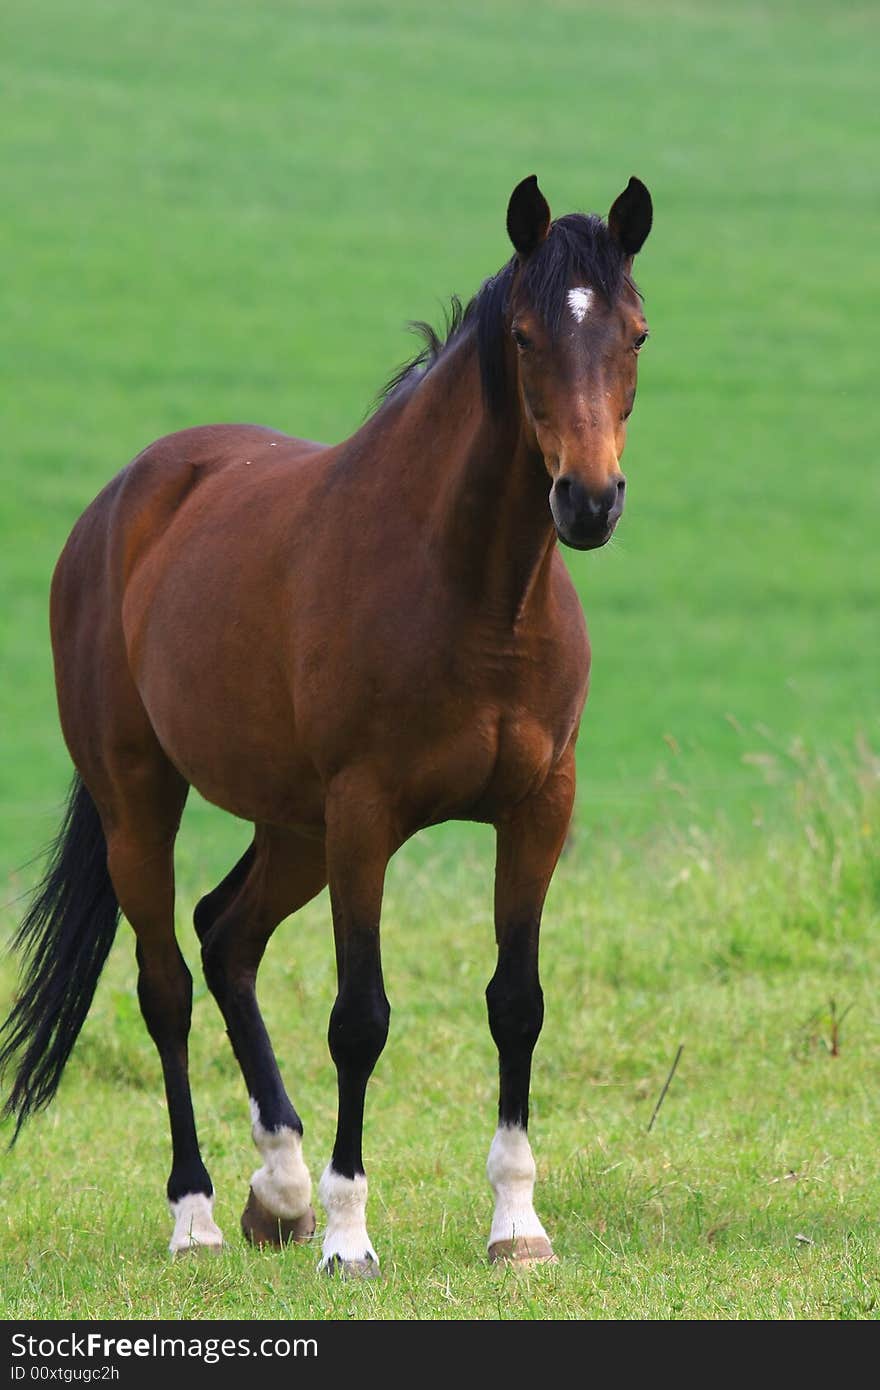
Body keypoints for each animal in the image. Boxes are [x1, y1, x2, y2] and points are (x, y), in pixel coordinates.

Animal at [0, 170, 645, 1273]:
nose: (589, 500)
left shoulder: (538, 808)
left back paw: (280, 1187)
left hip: (291, 826)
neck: (473, 593)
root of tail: (120, 505)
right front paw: (349, 1233)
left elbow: (516, 1004)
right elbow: (360, 1018)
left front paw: (515, 1223)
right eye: (524, 337)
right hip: (145, 803)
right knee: (168, 984)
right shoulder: (364, 816)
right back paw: (201, 1214)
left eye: (635, 332)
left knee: (226, 938)